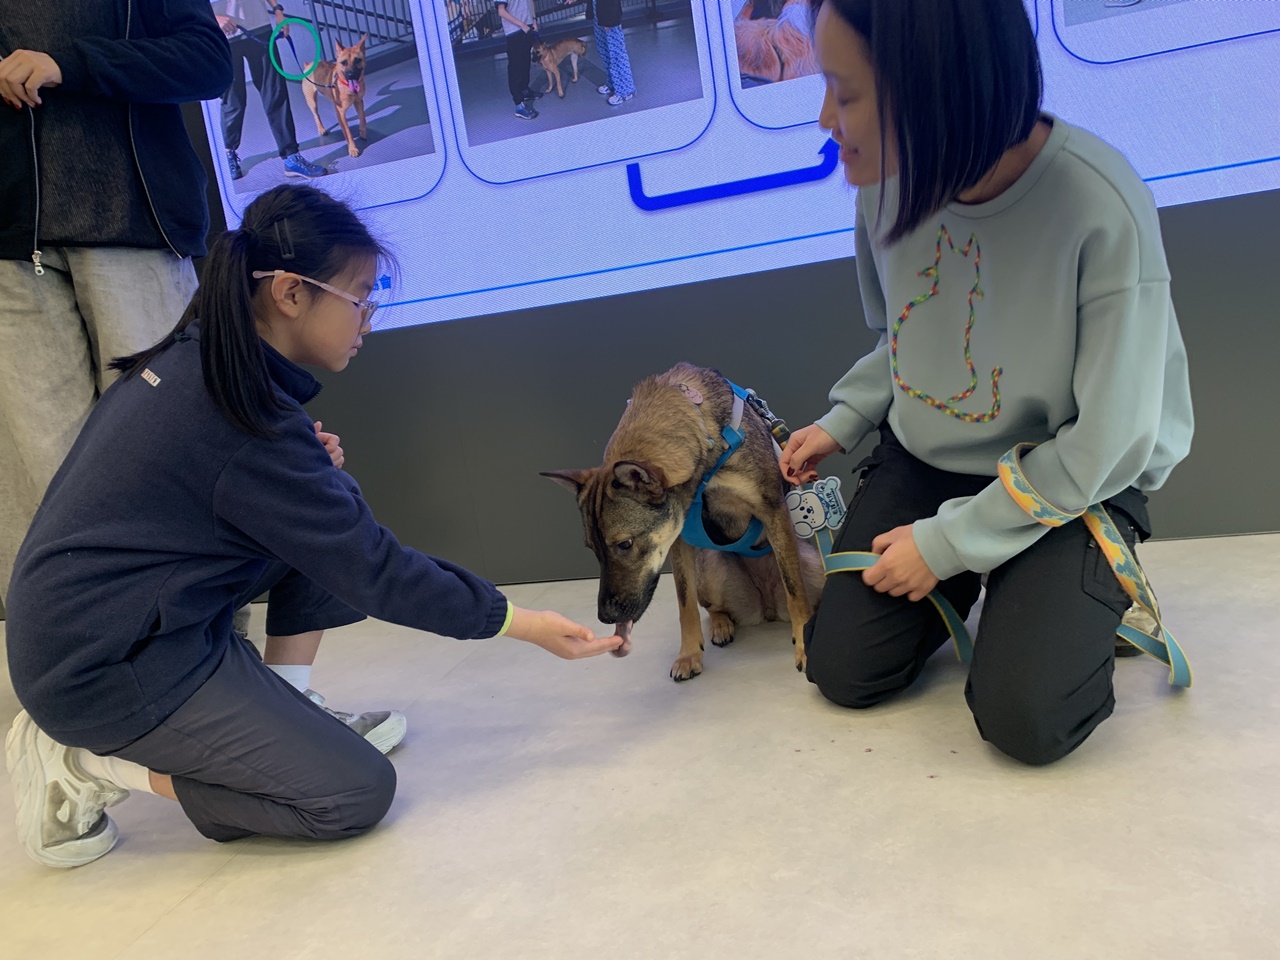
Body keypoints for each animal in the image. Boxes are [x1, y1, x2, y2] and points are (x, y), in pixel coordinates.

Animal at [543, 363, 825, 682]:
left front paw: (804, 646)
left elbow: (795, 591)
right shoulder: (679, 540)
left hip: (813, 564)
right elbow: (685, 603)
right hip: (712, 568)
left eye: (624, 544)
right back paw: (721, 625)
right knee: (715, 609)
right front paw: (688, 655)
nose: (605, 617)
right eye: (593, 549)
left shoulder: (772, 511)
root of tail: (766, 608)